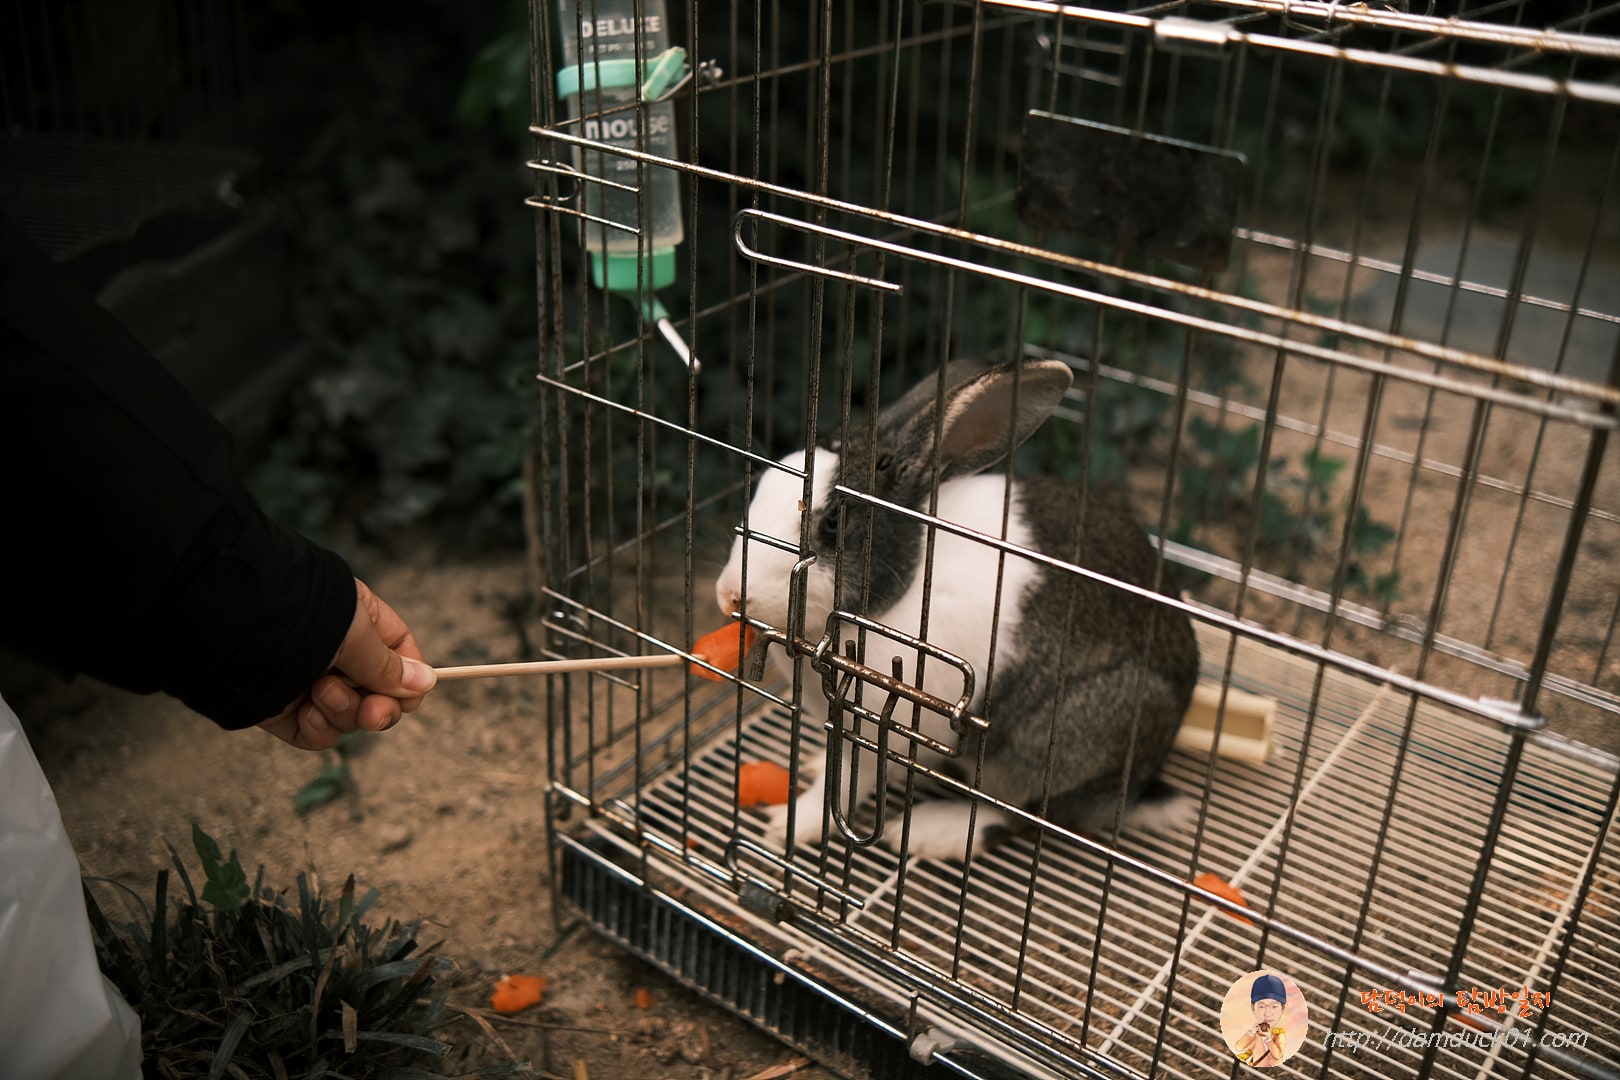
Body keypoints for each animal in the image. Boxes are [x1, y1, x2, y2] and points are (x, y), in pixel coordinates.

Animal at [714, 358, 1200, 861]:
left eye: (832, 523)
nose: (729, 594)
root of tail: (1144, 779)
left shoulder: (875, 732)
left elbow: (846, 781)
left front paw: (790, 826)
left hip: (1045, 751)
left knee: (1021, 816)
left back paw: (931, 831)